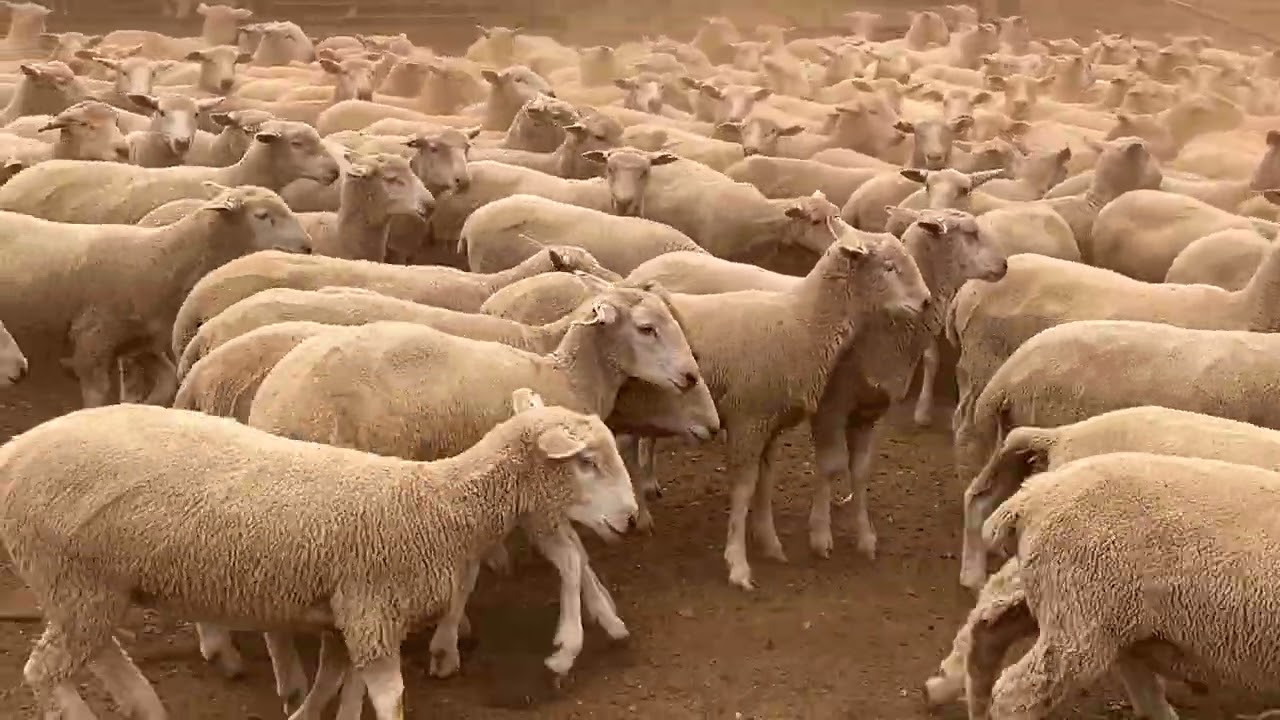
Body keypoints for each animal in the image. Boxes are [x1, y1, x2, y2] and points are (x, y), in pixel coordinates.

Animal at [0, 183, 309, 407]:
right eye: (263, 216)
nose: (307, 246)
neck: (158, 260)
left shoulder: (140, 344)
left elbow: (168, 381)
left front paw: (141, 405)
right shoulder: (92, 342)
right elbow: (97, 396)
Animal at [0, 391, 636, 720]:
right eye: (587, 463)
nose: (631, 519)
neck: (435, 505)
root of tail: (15, 449)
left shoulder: (349, 616)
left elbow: (342, 686)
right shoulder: (370, 608)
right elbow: (387, 696)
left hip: (88, 585)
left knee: (100, 655)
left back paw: (145, 707)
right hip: (71, 577)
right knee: (44, 672)